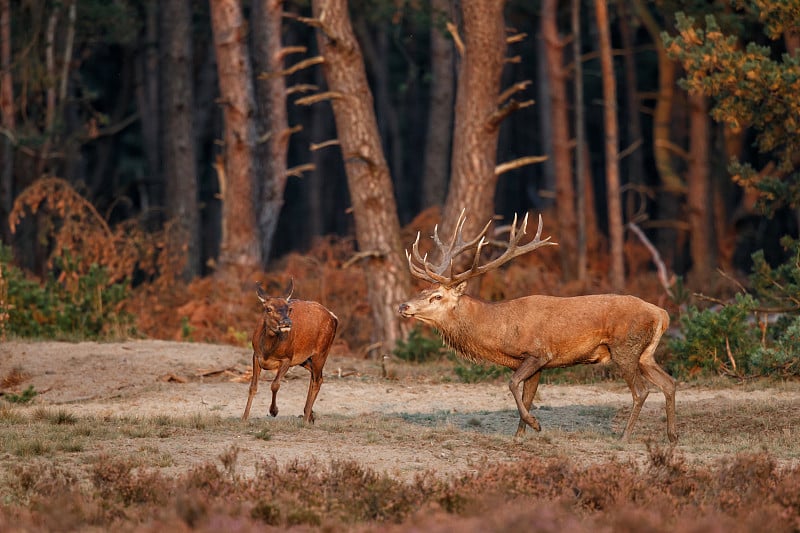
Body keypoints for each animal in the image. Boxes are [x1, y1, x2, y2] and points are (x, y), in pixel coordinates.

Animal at [239, 278, 336, 424]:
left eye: (289, 308)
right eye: (268, 308)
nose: (286, 322)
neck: (268, 351)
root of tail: (334, 317)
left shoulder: (287, 358)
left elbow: (275, 385)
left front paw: (273, 411)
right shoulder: (256, 355)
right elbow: (253, 387)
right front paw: (244, 418)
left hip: (322, 351)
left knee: (318, 380)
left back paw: (306, 419)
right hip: (303, 359)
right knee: (315, 376)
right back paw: (309, 415)